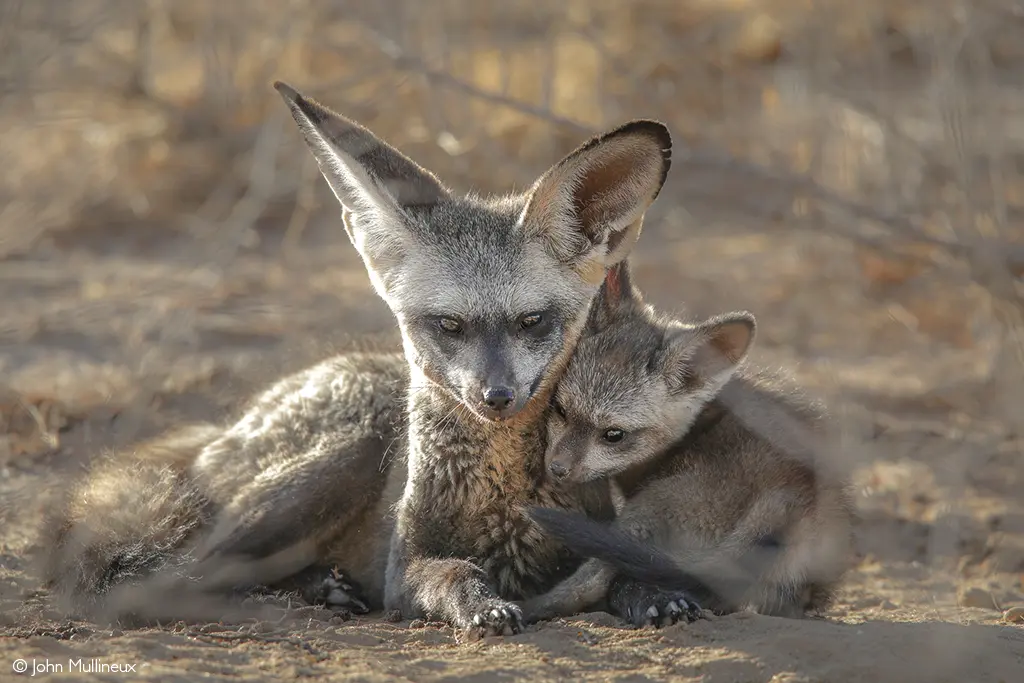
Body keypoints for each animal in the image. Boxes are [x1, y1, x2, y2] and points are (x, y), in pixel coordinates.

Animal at [42, 82, 675, 638]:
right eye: (448, 325)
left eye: (532, 322)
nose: (495, 397)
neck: (502, 500)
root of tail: (228, 424)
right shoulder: (406, 569)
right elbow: (454, 574)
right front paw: (483, 605)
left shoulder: (595, 535)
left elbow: (630, 569)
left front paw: (653, 593)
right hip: (343, 457)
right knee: (164, 578)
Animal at [517, 261, 855, 628]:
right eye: (561, 410)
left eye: (613, 435)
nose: (556, 469)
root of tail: (793, 499)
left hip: (645, 514)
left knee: (585, 586)